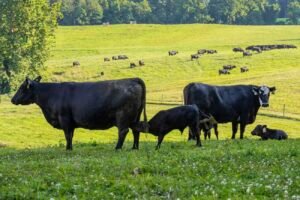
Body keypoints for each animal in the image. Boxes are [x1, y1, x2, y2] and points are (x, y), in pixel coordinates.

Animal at [11, 76, 148, 150]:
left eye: (21, 88)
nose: (12, 99)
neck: (51, 94)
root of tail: (132, 79)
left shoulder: (64, 119)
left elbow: (67, 135)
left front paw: (67, 149)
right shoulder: (71, 122)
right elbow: (71, 135)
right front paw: (70, 148)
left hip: (123, 116)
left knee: (123, 131)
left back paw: (117, 148)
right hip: (135, 117)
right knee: (136, 130)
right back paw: (134, 148)